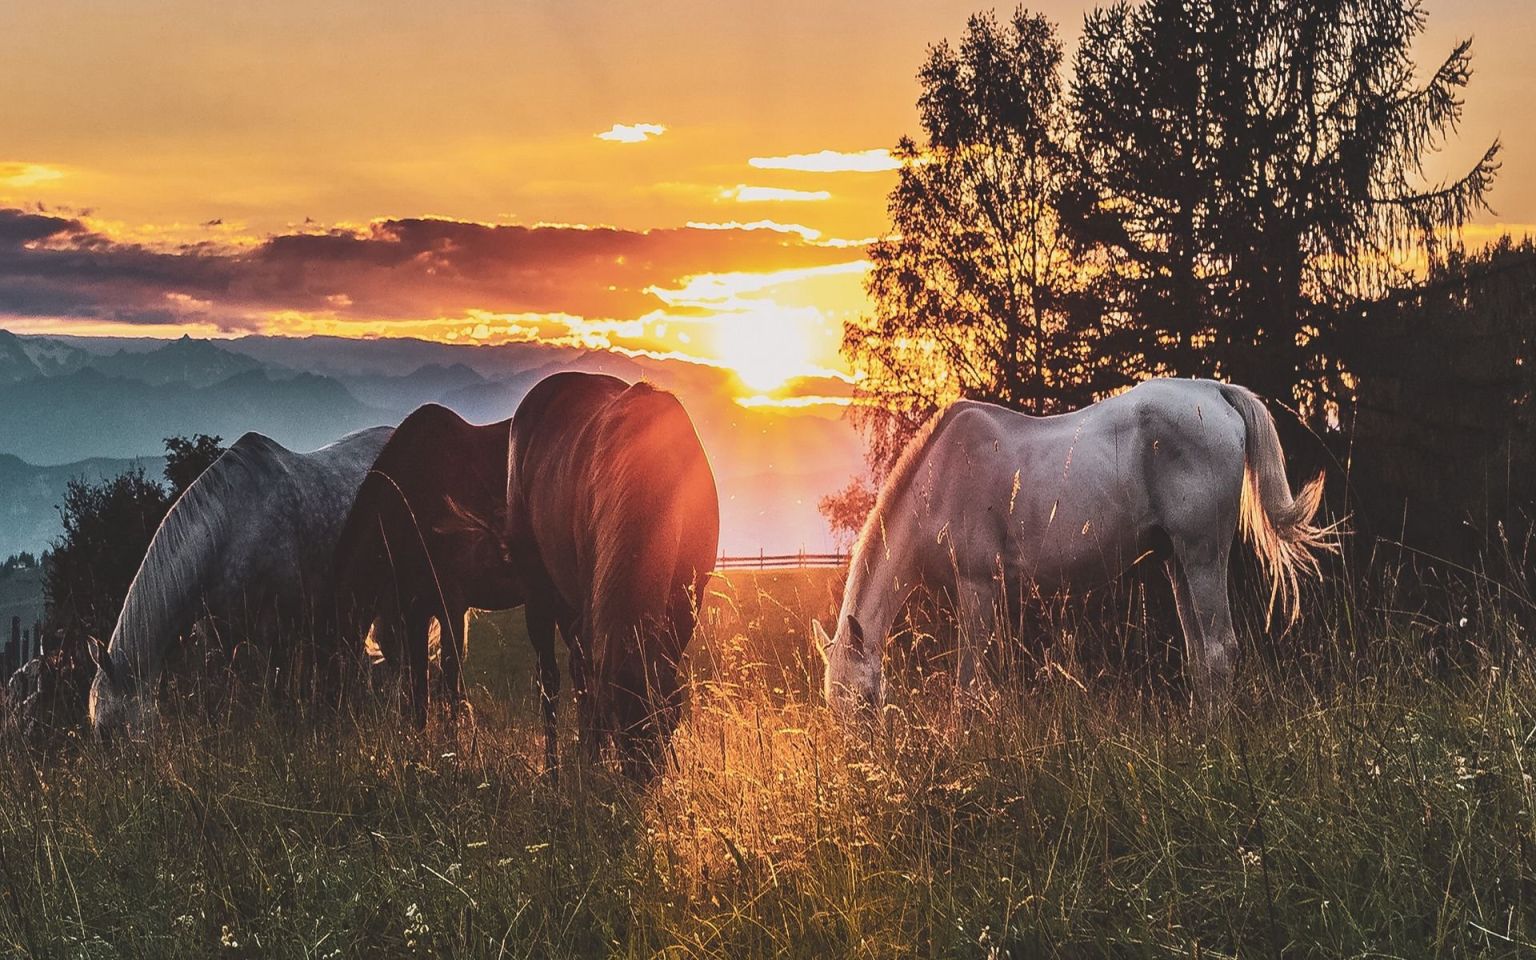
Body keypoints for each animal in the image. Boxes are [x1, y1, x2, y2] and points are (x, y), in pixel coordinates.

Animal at [506, 370, 715, 774]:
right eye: (621, 728)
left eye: (667, 723)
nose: (642, 779)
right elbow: (588, 685)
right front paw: (592, 758)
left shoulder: (686, 603)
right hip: (538, 594)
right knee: (552, 680)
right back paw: (556, 768)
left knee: (577, 670)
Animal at [817, 377, 1333, 715]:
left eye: (864, 701)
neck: (941, 479)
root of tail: (1215, 393)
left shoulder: (977, 587)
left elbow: (969, 685)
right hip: (1177, 561)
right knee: (1200, 656)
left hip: (1203, 553)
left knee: (1219, 650)